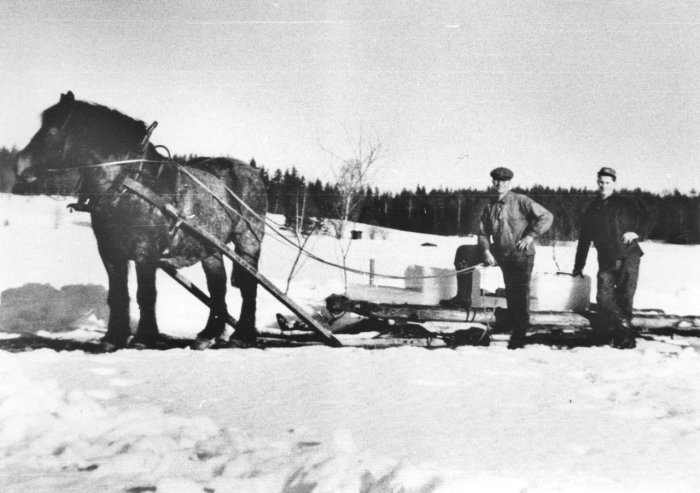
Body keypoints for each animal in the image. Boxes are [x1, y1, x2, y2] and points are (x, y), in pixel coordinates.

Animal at [17, 92, 268, 350]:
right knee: (217, 286)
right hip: (210, 248)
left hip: (248, 241)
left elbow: (145, 294)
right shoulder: (110, 251)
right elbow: (118, 294)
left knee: (249, 286)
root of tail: (253, 172)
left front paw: (143, 338)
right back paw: (209, 334)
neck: (128, 183)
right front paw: (113, 338)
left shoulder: (145, 251)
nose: (20, 164)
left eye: (52, 130)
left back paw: (242, 334)